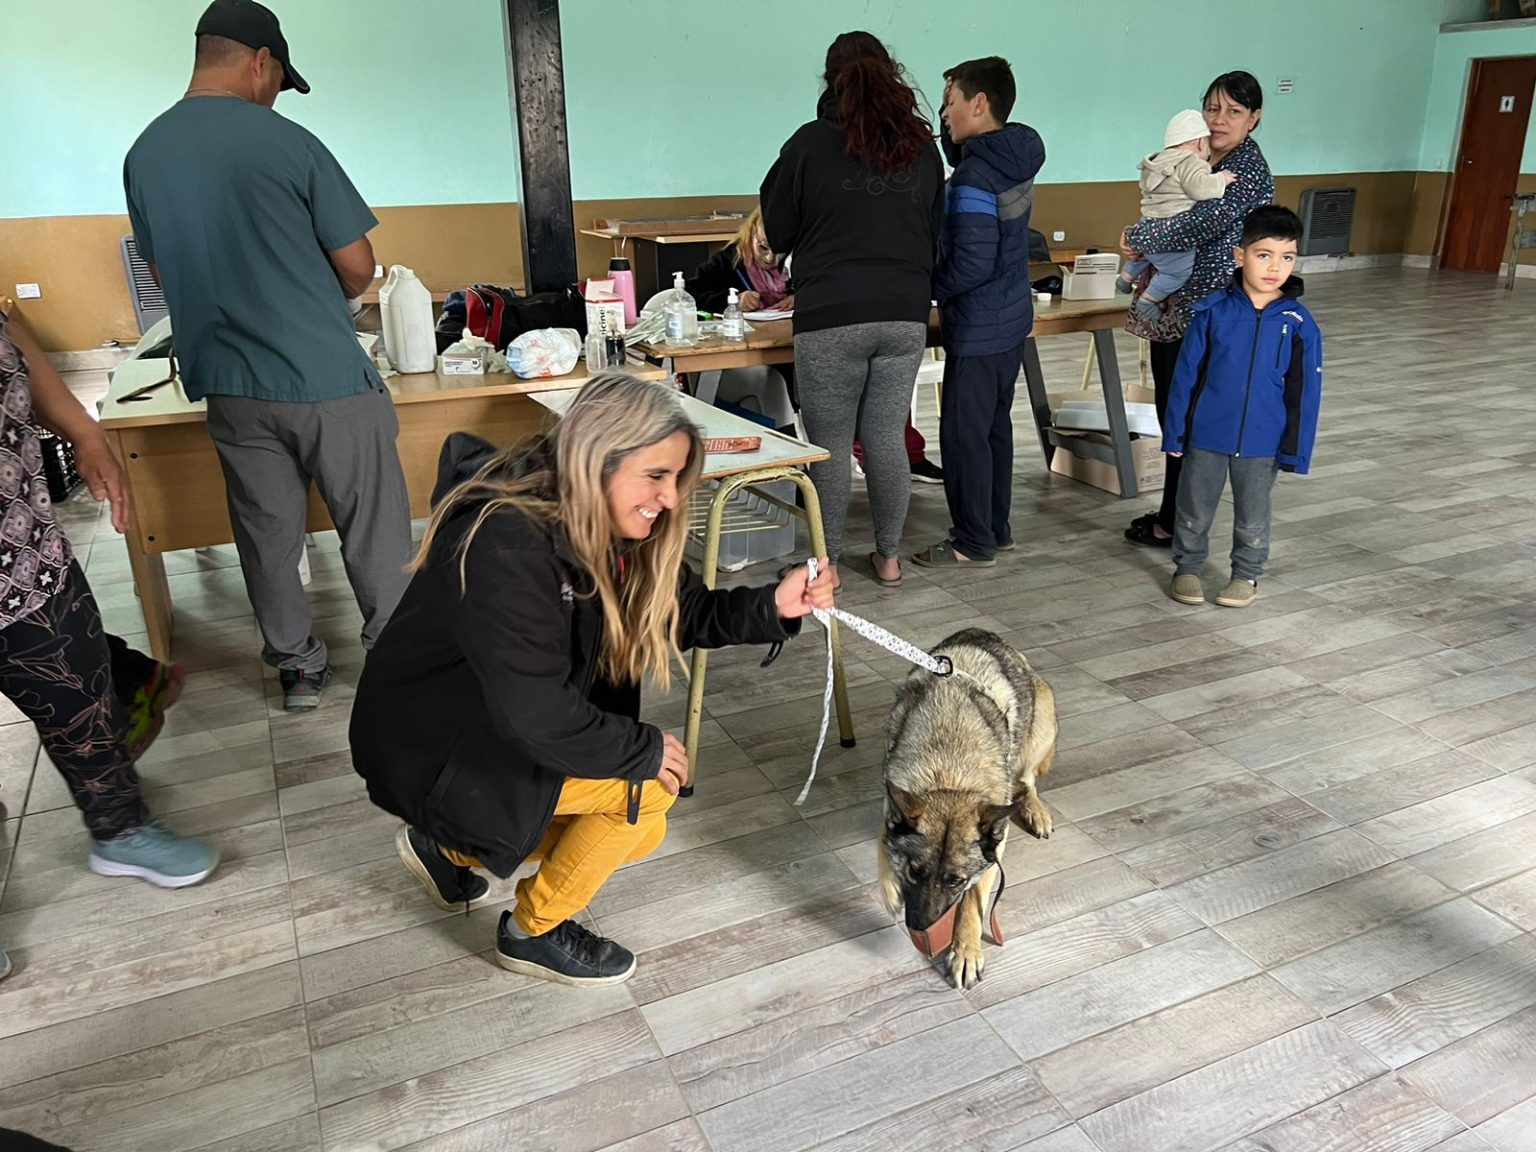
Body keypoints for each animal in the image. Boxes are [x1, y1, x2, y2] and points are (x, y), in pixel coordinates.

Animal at [878, 632, 1056, 995]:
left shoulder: (992, 850)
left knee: (1027, 781)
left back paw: (1035, 810)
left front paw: (965, 951)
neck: (949, 774)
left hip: (1043, 723)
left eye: (956, 881)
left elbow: (973, 902)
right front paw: (889, 886)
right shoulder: (890, 799)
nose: (920, 929)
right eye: (913, 872)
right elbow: (881, 838)